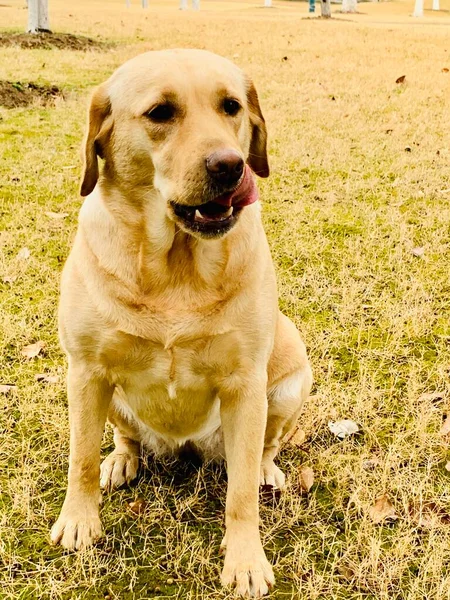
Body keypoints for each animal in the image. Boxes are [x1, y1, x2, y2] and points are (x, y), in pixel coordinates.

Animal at [51, 49, 312, 596]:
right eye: (160, 113)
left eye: (231, 106)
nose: (231, 166)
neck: (175, 266)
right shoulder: (84, 371)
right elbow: (79, 458)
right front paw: (80, 520)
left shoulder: (245, 386)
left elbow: (240, 496)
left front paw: (245, 560)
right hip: (109, 396)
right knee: (124, 437)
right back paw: (122, 459)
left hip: (288, 383)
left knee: (263, 451)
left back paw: (267, 471)